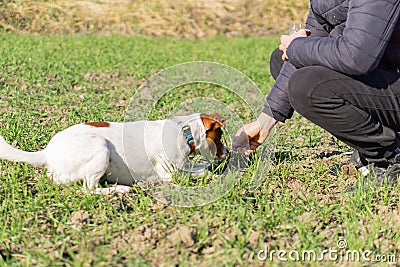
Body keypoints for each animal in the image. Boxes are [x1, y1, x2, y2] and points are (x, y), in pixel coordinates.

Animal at [0, 113, 227, 195]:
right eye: (220, 136)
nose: (226, 152)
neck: (184, 131)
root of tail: (47, 153)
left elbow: (202, 166)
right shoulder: (171, 174)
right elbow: (200, 172)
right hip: (100, 147)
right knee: (88, 189)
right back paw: (119, 189)